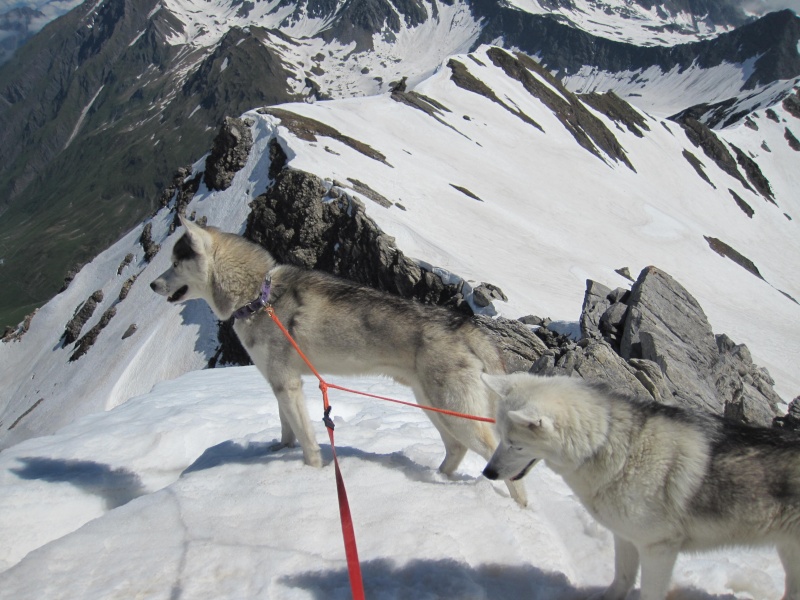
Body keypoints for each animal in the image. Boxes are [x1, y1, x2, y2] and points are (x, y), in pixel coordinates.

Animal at [151, 218, 528, 504]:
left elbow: (305, 438)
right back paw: (437, 477)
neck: (258, 296)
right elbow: (286, 427)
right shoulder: (279, 382)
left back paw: (520, 508)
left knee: (495, 457)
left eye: (174, 262)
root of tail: (467, 327)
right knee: (456, 448)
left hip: (453, 410)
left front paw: (311, 472)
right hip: (433, 405)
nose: (153, 284)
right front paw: (278, 450)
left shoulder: (287, 383)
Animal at [482, 372, 800, 596]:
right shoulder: (625, 537)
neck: (606, 443)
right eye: (501, 436)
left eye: (515, 445)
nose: (488, 473)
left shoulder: (658, 549)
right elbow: (621, 580)